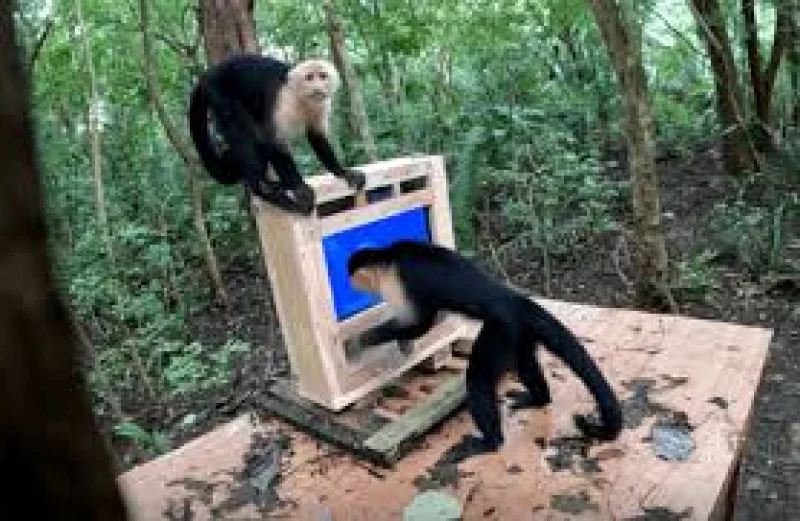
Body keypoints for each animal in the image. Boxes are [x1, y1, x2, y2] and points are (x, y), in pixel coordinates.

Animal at [188, 54, 366, 215]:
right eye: (309, 77)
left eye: (323, 76)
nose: (317, 87)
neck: (301, 98)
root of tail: (206, 75)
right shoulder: (285, 101)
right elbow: (273, 141)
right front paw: (298, 188)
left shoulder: (321, 104)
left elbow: (317, 136)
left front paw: (342, 172)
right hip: (217, 91)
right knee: (245, 132)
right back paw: (261, 187)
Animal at [347, 240, 623, 460]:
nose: (350, 284)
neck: (390, 255)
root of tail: (515, 299)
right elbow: (427, 322)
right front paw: (402, 345)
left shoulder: (399, 279)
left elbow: (421, 323)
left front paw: (362, 339)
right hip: (518, 330)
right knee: (524, 364)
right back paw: (538, 399)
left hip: (500, 328)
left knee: (478, 378)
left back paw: (490, 443)